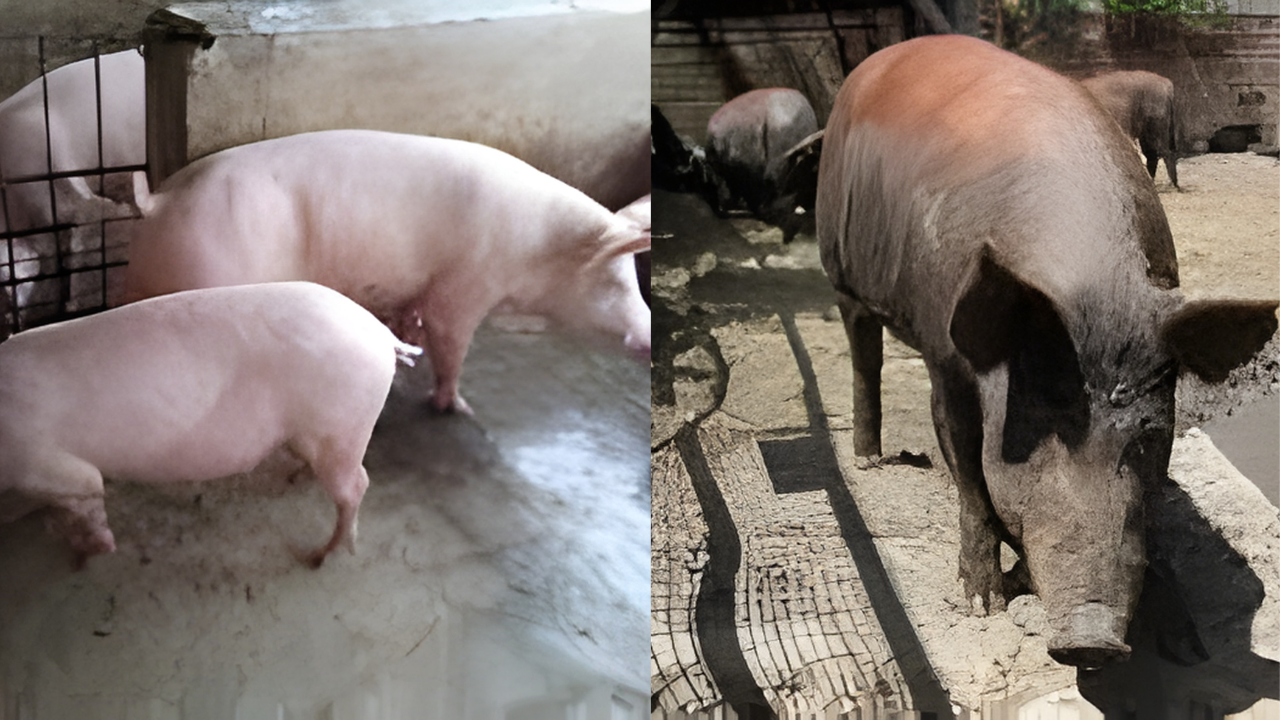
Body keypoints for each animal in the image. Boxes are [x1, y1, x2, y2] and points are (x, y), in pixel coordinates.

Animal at [0, 281, 419, 568]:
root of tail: (380, 333)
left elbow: (87, 497)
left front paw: (88, 554)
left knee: (356, 485)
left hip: (341, 422)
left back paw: (321, 555)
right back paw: (297, 480)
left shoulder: (49, 466)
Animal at [122, 130, 651, 414]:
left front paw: (407, 345)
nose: (648, 336)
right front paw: (456, 407)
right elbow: (451, 343)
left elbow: (412, 319)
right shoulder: (465, 287)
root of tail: (158, 200)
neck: (537, 254)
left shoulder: (418, 286)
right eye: (614, 280)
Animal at [816, 35, 1277, 668]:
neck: (1088, 285)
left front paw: (1189, 649)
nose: (1093, 639)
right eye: (1033, 438)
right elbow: (967, 471)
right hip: (840, 271)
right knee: (865, 356)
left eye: (1148, 439)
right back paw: (866, 460)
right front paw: (984, 602)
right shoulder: (945, 358)